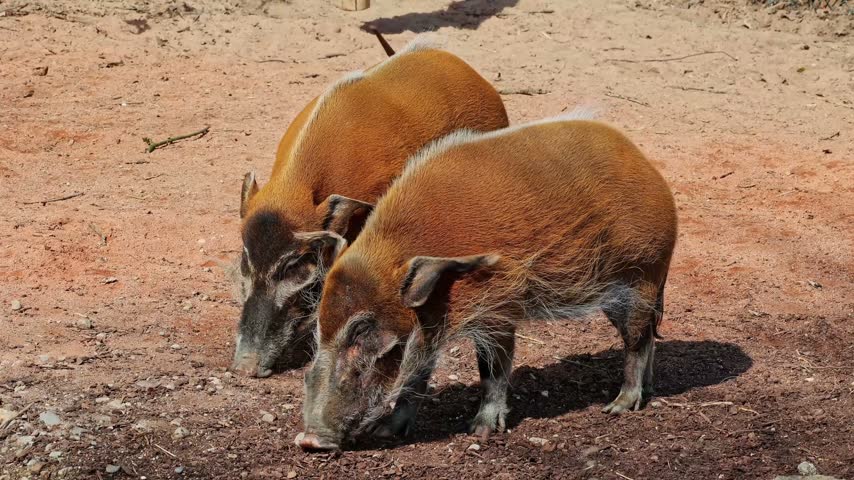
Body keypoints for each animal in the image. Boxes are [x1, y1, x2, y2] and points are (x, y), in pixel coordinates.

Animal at [297, 111, 678, 450]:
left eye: (363, 330)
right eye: (320, 331)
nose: (310, 441)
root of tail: (649, 168)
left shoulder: (497, 309)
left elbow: (492, 370)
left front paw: (479, 431)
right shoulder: (430, 326)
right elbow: (417, 375)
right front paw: (386, 431)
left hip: (643, 276)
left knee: (637, 341)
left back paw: (618, 406)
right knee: (647, 337)